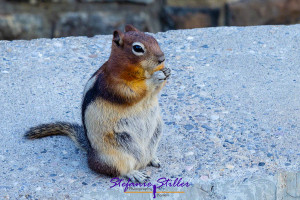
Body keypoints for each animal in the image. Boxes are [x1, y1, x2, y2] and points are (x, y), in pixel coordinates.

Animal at [25, 25, 171, 183]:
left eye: (153, 38)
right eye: (137, 48)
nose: (162, 58)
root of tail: (90, 153)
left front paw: (167, 71)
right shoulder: (113, 83)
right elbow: (132, 91)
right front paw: (156, 77)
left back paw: (153, 159)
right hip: (114, 157)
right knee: (121, 170)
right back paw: (135, 174)